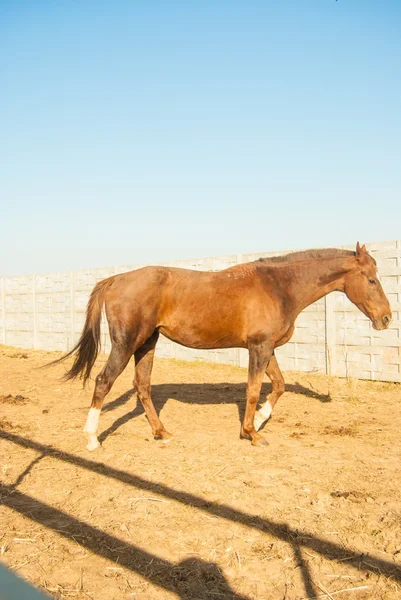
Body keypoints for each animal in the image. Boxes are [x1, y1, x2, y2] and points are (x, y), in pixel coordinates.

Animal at [50, 240, 390, 450]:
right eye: (371, 279)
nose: (386, 318)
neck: (278, 287)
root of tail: (115, 279)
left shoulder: (268, 348)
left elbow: (279, 385)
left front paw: (260, 420)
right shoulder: (259, 348)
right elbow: (253, 390)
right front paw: (252, 433)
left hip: (147, 342)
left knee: (142, 386)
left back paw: (161, 433)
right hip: (127, 343)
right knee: (103, 381)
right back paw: (92, 439)